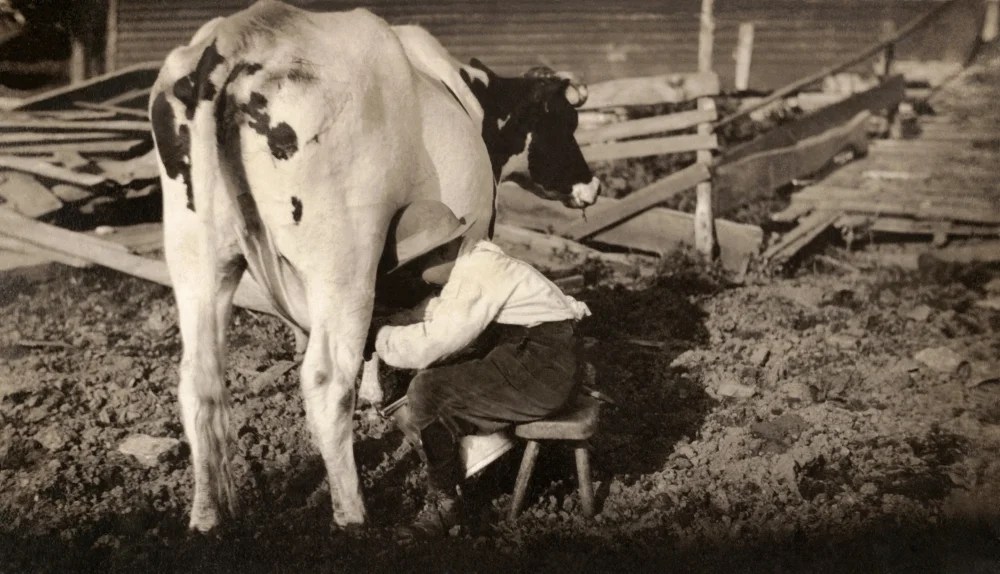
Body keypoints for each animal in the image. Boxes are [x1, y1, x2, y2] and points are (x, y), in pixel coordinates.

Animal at [150, 1, 592, 536]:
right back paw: (354, 515)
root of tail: (238, 37)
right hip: (343, 260)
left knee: (199, 382)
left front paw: (378, 393)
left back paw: (207, 516)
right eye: (566, 122)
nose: (591, 184)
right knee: (325, 379)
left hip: (197, 256)